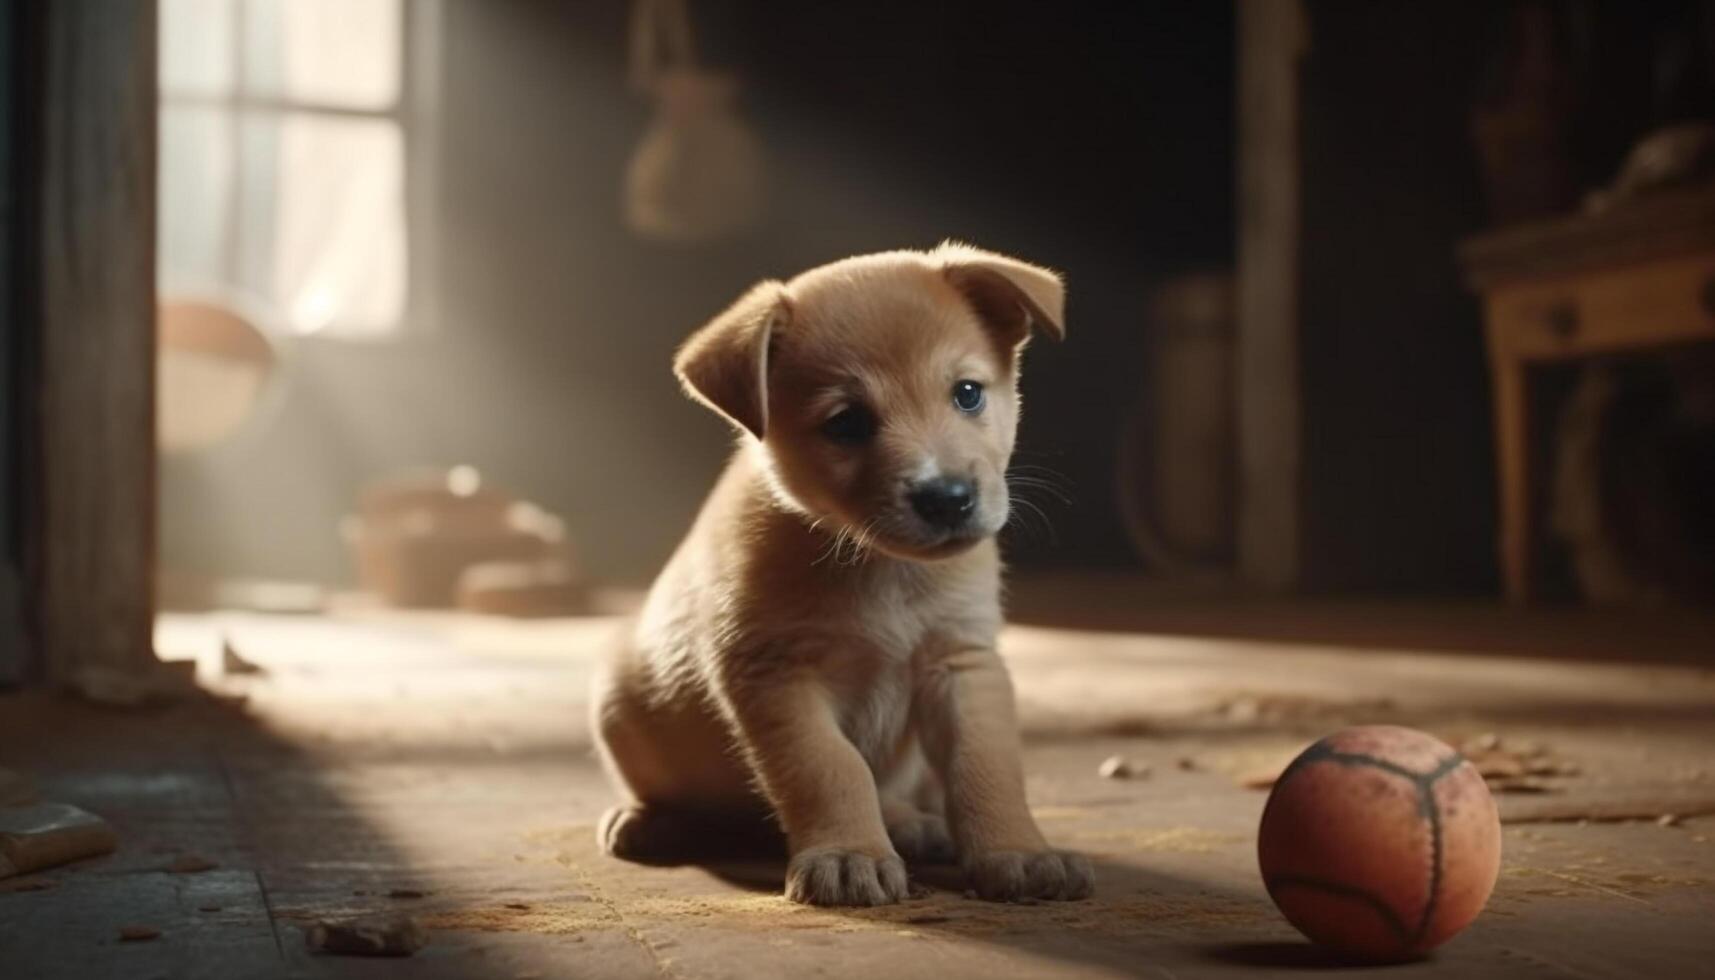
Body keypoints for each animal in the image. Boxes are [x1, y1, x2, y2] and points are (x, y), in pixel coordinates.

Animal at [596, 241, 1090, 906]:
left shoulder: (962, 664)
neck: (883, 570)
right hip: (619, 706)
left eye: (967, 393)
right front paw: (850, 855)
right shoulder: (777, 677)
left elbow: (986, 767)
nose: (947, 498)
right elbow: (831, 768)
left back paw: (908, 823)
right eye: (847, 422)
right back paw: (649, 819)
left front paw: (1019, 851)